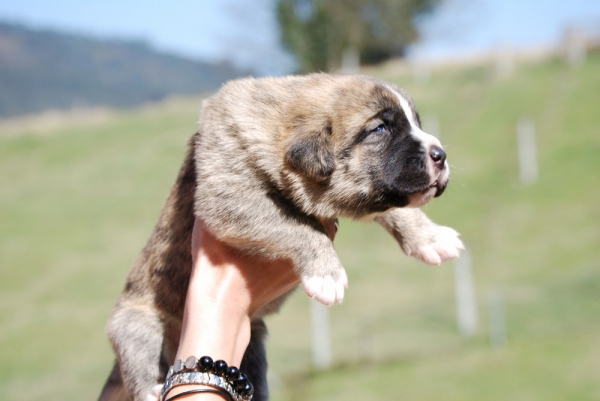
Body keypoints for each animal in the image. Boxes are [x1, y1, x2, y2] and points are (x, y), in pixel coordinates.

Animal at [98, 73, 464, 398]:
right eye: (380, 129)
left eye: (415, 123)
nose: (441, 154)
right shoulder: (230, 197)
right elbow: (298, 226)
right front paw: (326, 274)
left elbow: (398, 207)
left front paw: (432, 237)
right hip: (136, 323)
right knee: (137, 360)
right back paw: (149, 389)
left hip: (253, 345)